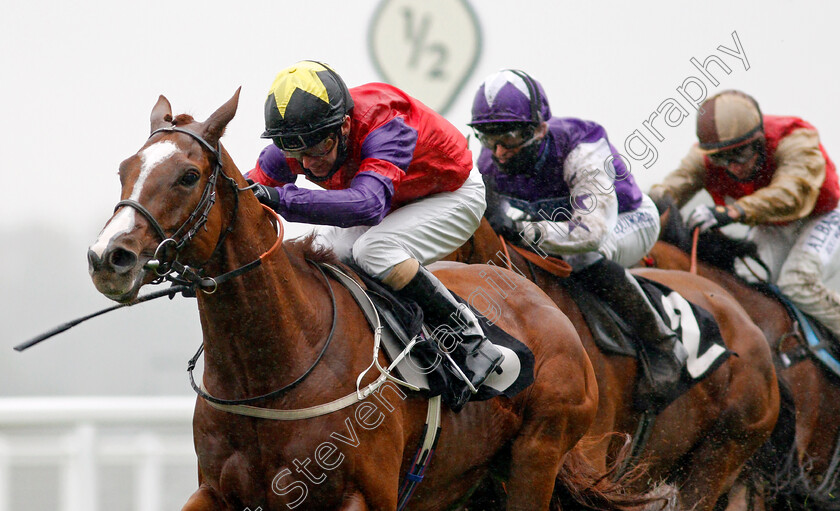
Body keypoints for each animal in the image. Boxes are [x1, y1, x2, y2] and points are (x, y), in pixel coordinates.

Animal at [88, 92, 668, 511]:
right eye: (123, 170)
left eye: (188, 176)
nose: (107, 257)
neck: (272, 369)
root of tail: (539, 299)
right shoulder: (215, 492)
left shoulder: (361, 496)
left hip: (538, 454)